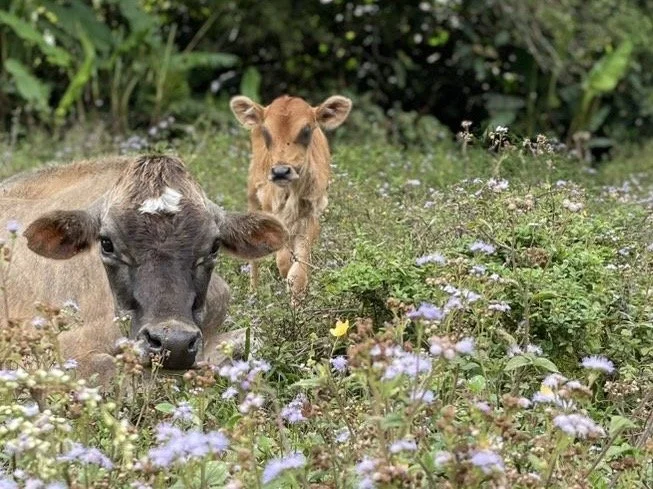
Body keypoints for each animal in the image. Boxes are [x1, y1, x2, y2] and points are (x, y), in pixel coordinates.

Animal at [229, 94, 352, 301]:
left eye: (306, 130)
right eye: (266, 132)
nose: (281, 171)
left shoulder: (311, 214)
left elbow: (299, 270)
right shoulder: (272, 211)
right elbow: (283, 259)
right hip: (252, 197)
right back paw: (253, 293)